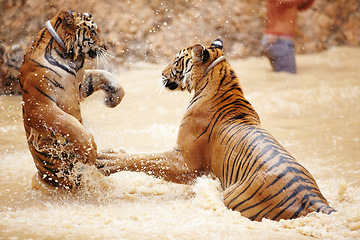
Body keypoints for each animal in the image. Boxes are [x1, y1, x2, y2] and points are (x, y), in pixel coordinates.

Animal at [21, 10, 126, 188]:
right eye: (93, 31)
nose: (106, 47)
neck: (68, 57)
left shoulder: (80, 84)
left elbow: (102, 74)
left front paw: (114, 97)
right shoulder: (39, 106)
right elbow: (67, 122)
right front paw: (89, 149)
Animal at [97, 39, 334, 221]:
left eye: (176, 61)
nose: (161, 73)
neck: (220, 78)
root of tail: (314, 199)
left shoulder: (187, 162)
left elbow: (145, 159)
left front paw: (106, 159)